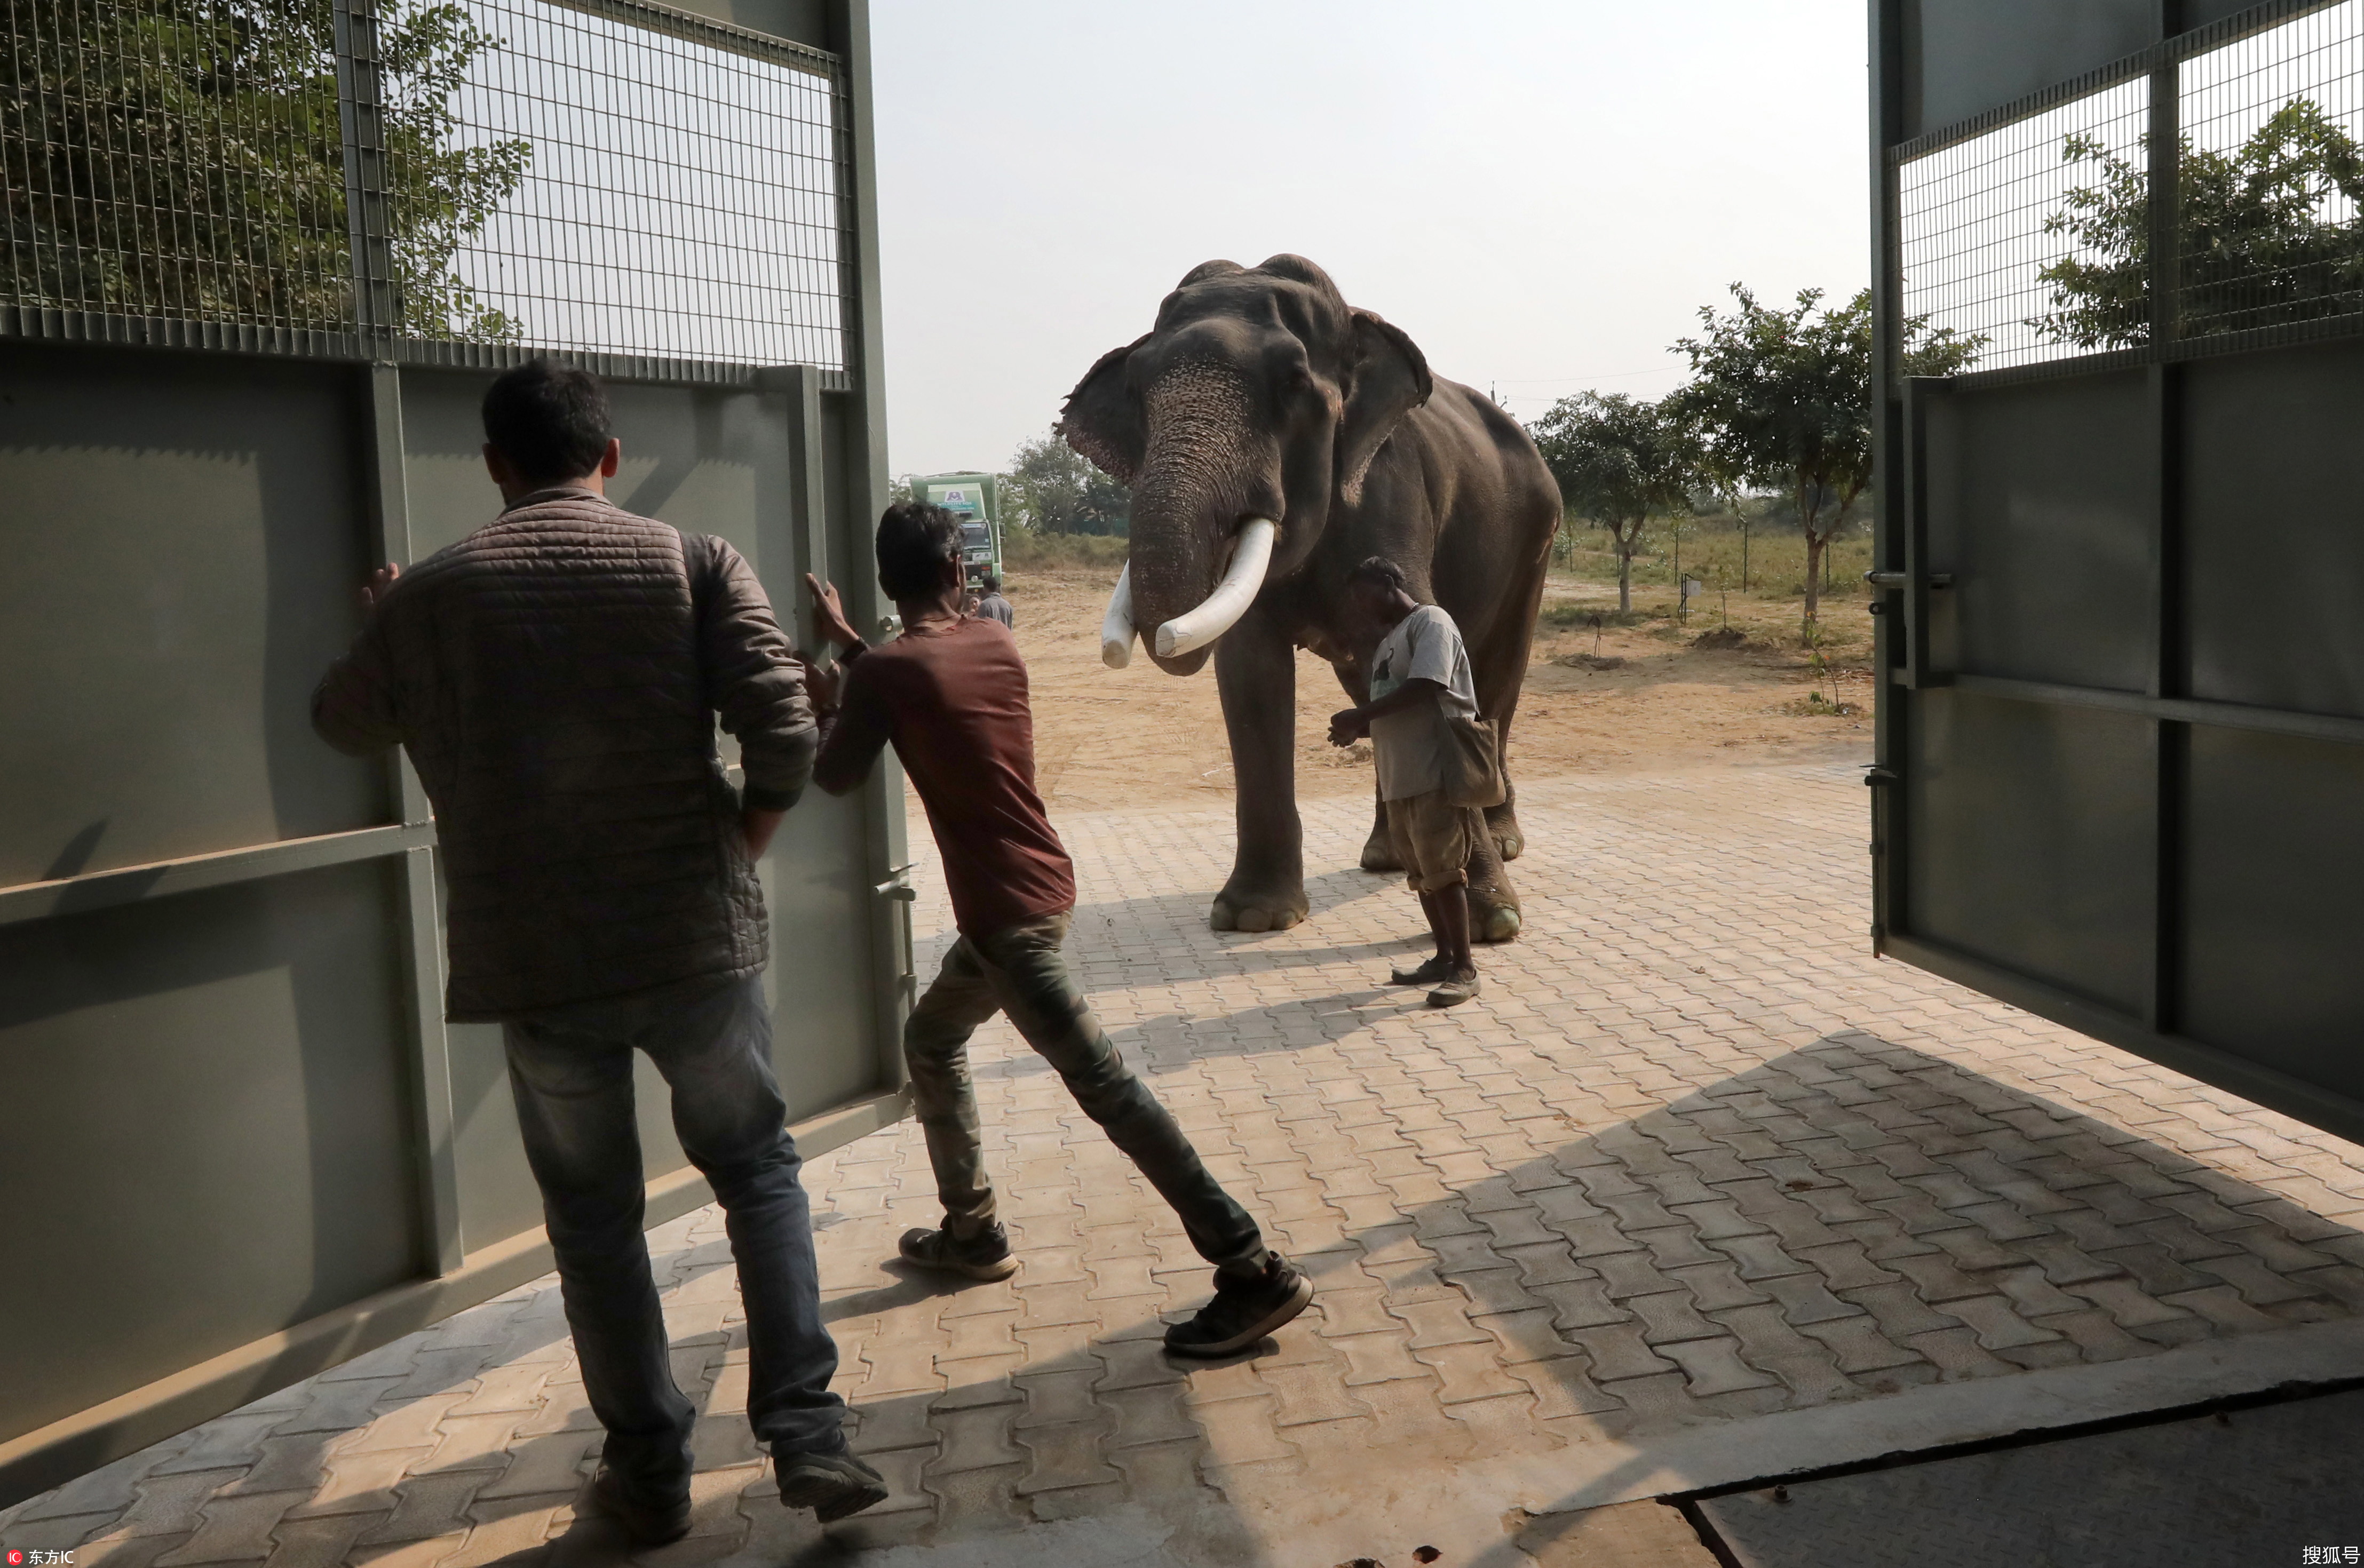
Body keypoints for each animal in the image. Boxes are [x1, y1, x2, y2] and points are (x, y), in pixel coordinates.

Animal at [1064, 256, 1560, 936]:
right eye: (1137, 391)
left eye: (1293, 383)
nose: (1160, 634)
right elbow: (1249, 673)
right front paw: (1252, 916)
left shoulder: (1391, 490)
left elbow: (1434, 672)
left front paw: (1496, 922)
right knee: (1373, 683)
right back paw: (1386, 855)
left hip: (1536, 537)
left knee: (1498, 679)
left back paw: (1500, 841)